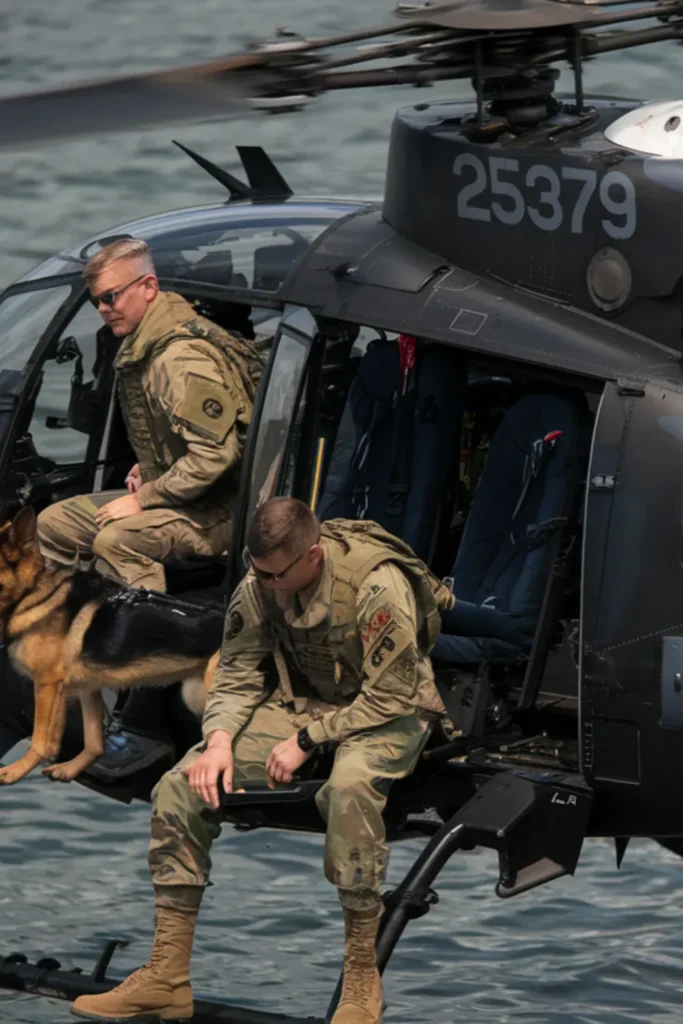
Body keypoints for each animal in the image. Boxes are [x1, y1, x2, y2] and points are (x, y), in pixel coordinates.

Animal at [0, 503, 222, 782]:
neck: (35, 591)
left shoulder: (46, 685)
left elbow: (39, 741)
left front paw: (15, 771)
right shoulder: (83, 687)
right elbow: (89, 741)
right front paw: (69, 768)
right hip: (194, 695)